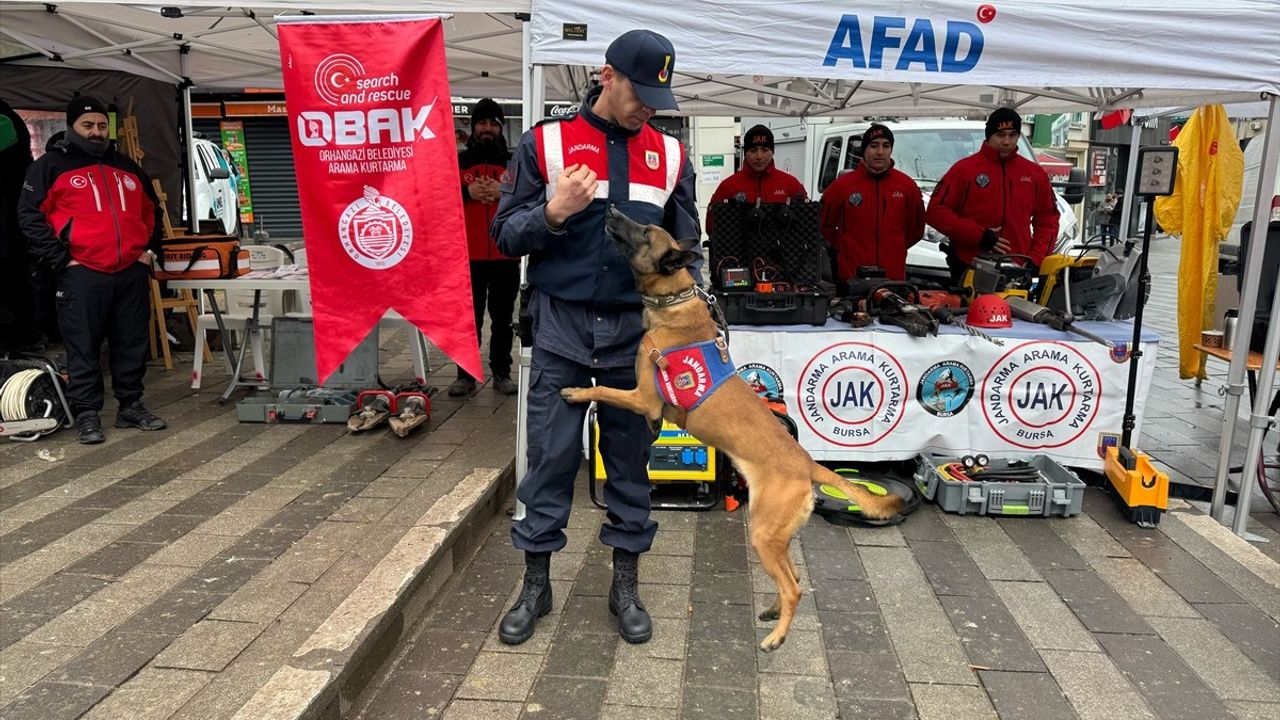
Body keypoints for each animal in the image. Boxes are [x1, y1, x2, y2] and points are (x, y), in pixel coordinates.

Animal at [558, 204, 901, 648]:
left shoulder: (642, 397)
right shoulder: (650, 408)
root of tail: (809, 464)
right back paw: (772, 611)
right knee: (795, 578)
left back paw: (775, 637)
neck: (674, 300)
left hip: (764, 532)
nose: (612, 209)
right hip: (777, 535)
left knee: (793, 586)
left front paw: (577, 392)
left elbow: (605, 390)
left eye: (646, 231)